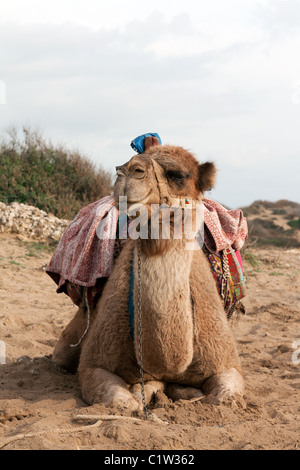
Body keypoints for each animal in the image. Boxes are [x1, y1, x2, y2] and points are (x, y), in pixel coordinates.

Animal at [72, 145, 244, 410]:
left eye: (178, 175)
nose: (127, 170)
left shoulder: (227, 362)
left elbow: (224, 398)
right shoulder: (93, 363)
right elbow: (123, 402)